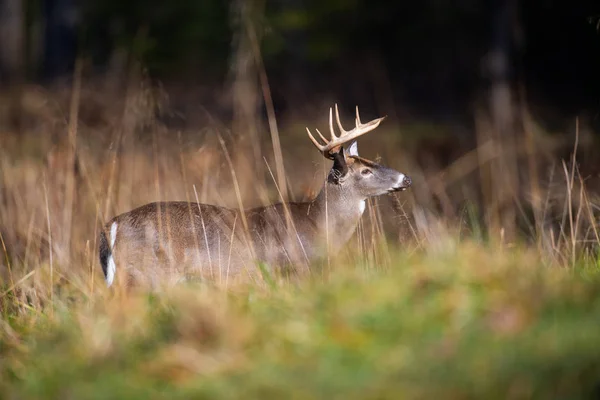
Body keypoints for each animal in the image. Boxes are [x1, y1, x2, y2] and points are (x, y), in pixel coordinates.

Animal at [99, 104, 412, 290]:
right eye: (365, 171)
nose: (406, 179)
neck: (316, 224)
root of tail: (112, 225)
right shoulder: (289, 270)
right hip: (149, 275)